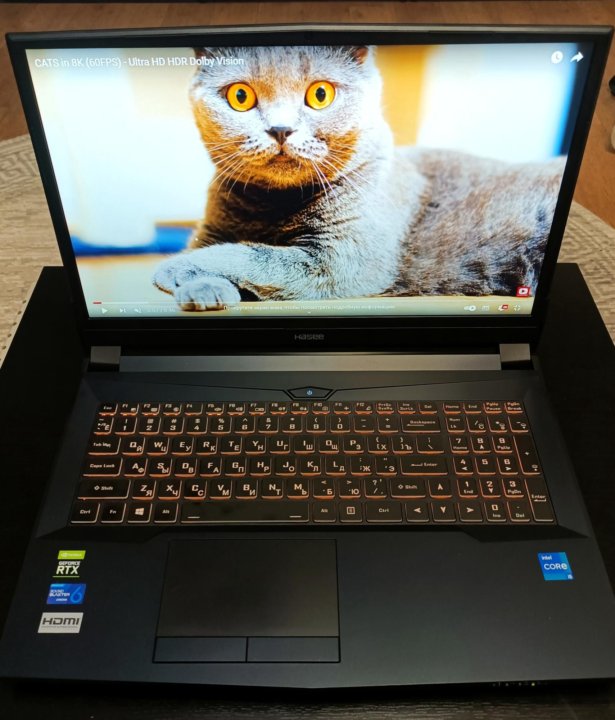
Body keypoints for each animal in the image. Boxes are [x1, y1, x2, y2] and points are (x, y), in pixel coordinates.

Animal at [152, 45, 565, 310]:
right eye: (240, 96)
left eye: (320, 94)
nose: (281, 129)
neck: (269, 208)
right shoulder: (211, 229)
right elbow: (219, 249)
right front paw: (203, 288)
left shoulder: (342, 258)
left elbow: (249, 254)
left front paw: (176, 271)